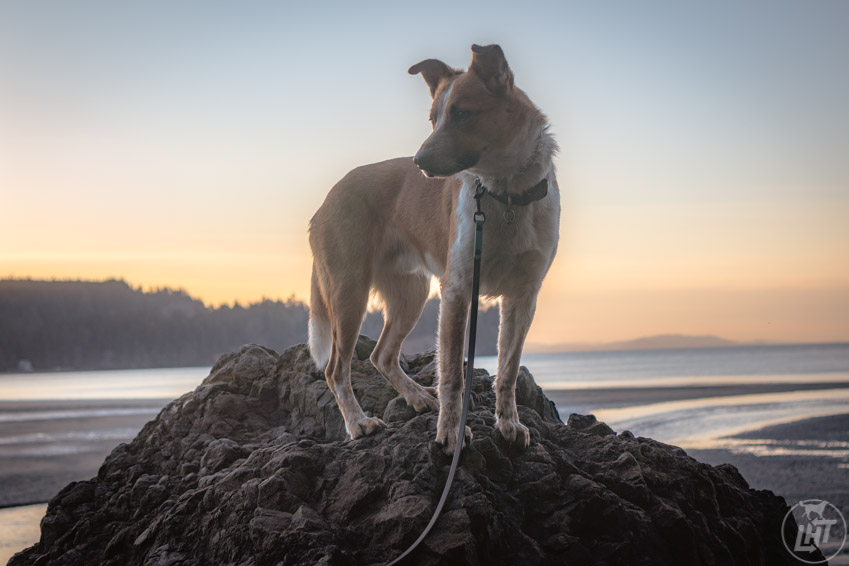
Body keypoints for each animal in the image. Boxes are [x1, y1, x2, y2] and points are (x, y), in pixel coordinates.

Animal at [308, 43, 560, 458]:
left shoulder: (523, 297)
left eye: (461, 113)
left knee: (381, 355)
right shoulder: (457, 290)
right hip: (349, 293)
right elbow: (453, 377)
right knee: (335, 369)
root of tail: (327, 199)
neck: (505, 191)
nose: (418, 162)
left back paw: (416, 397)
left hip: (411, 292)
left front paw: (509, 425)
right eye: (433, 119)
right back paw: (359, 423)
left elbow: (508, 369)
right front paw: (450, 435)